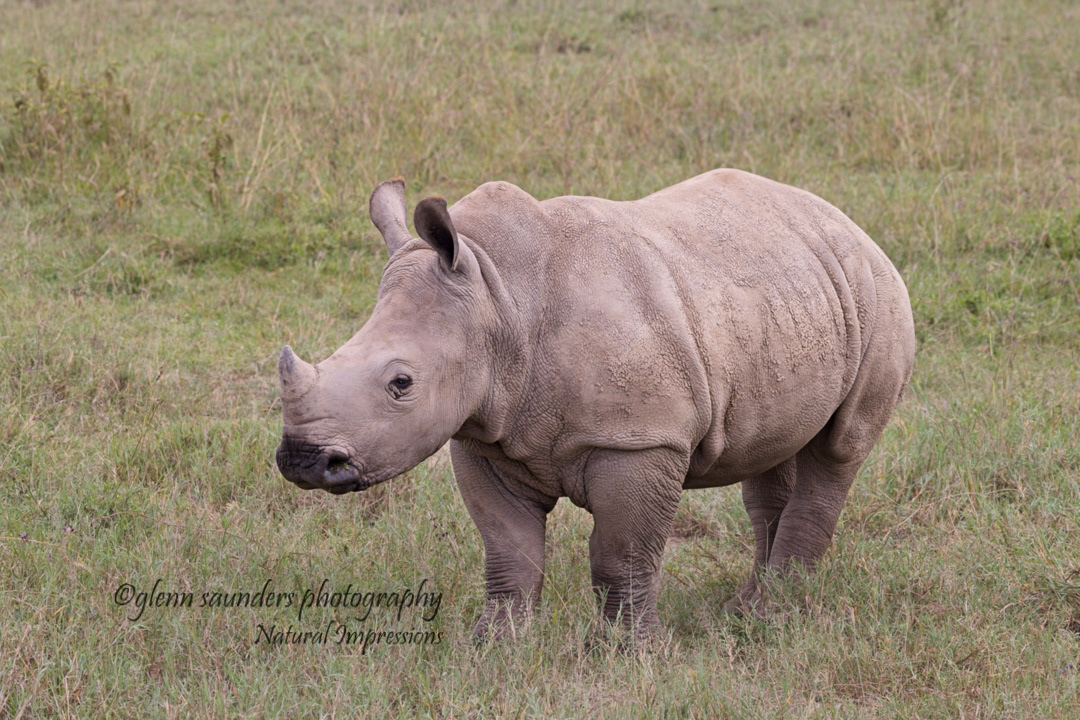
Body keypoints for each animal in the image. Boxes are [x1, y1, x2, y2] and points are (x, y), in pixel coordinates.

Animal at [276, 169, 915, 640]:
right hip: (784, 298)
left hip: (878, 294)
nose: (303, 462)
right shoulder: (483, 434)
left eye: (401, 384)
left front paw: (631, 655)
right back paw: (745, 610)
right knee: (772, 451)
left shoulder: (639, 439)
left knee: (838, 450)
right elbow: (508, 552)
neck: (498, 296)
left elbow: (622, 555)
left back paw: (771, 617)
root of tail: (844, 221)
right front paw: (495, 648)